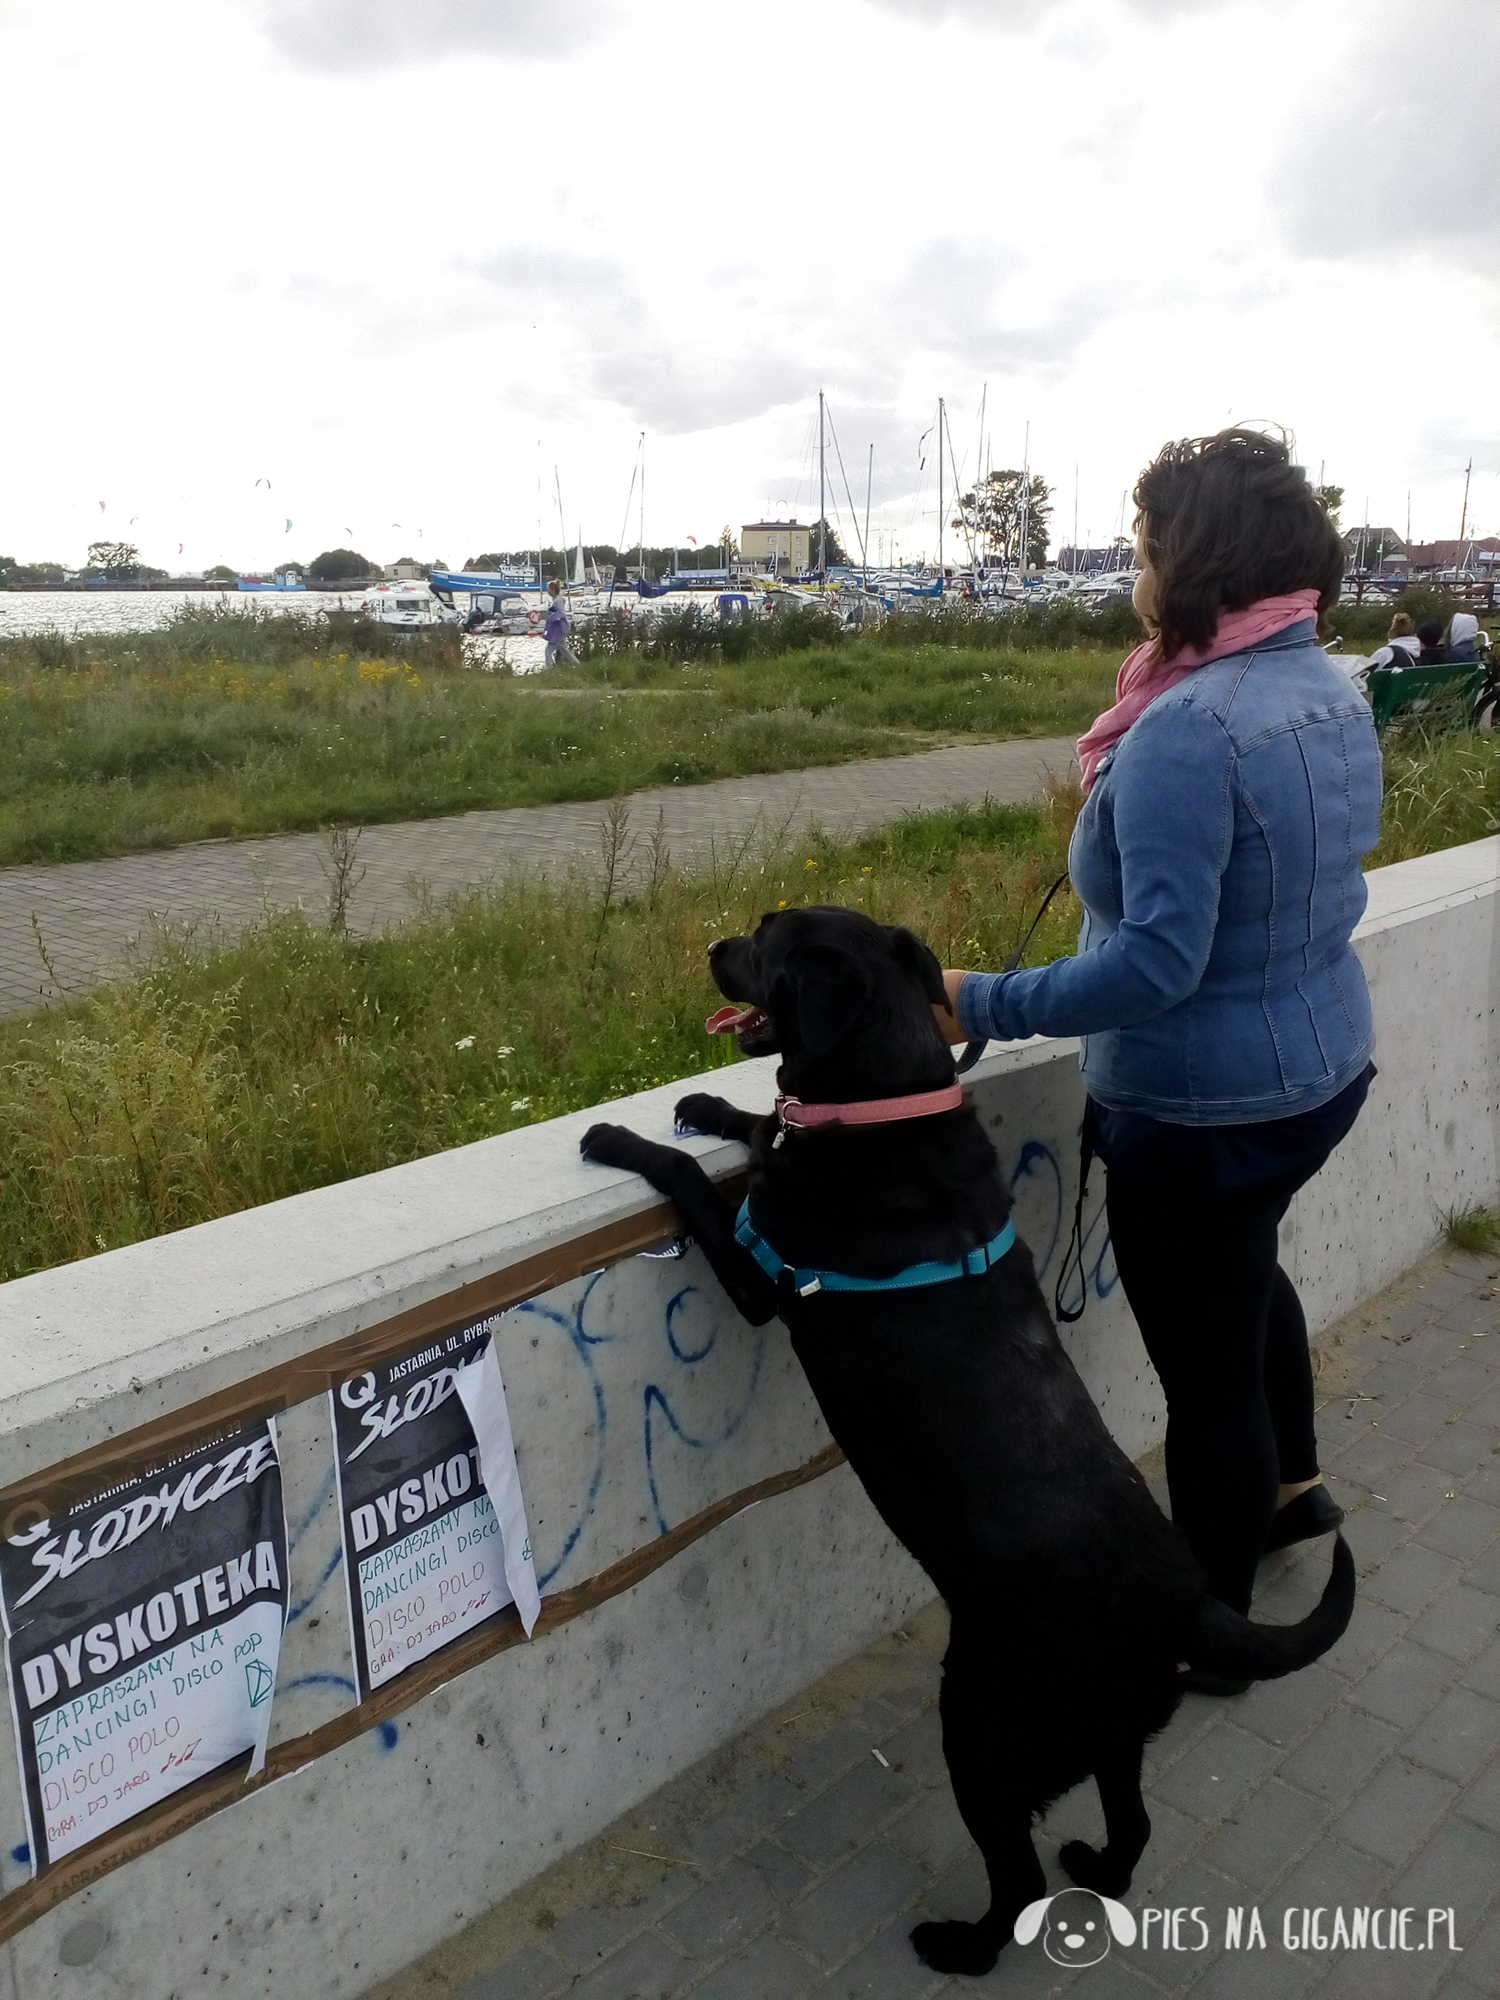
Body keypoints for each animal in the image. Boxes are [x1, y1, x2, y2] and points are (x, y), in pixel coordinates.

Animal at [580, 916, 1360, 1976]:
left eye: (767, 939)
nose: (712, 945)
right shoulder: (793, 1148)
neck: (882, 1104)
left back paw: (958, 1943)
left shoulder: (760, 1270)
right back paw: (1098, 1866)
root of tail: (1186, 1604)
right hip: (1109, 1731)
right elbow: (759, 1126)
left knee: (1017, 1881)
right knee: (1133, 1825)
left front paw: (619, 1137)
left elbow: (692, 1181)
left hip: (982, 1725)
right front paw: (707, 1103)